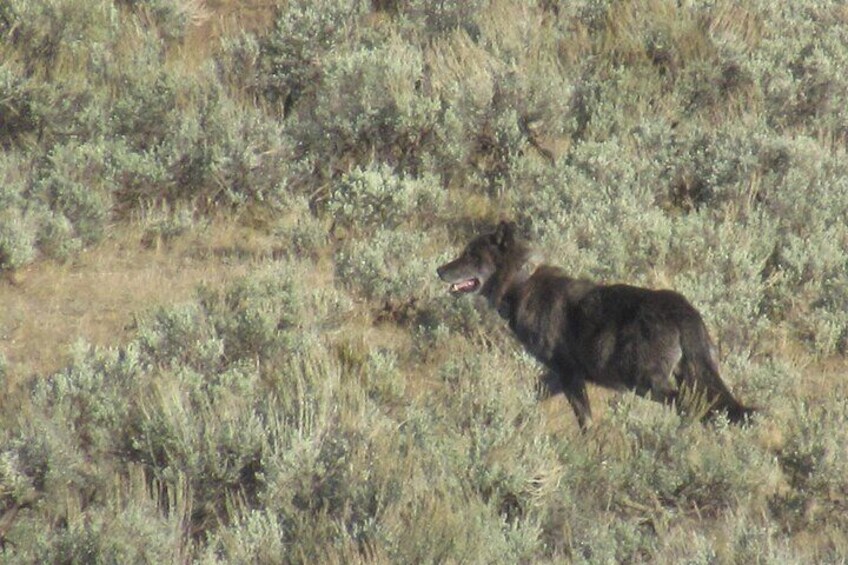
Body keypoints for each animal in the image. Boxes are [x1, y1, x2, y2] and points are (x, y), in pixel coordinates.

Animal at [438, 220, 756, 428]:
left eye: (471, 256)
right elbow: (531, 400)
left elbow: (586, 422)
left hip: (646, 383)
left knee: (690, 406)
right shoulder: (558, 376)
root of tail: (682, 310)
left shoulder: (569, 374)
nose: (439, 270)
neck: (521, 282)